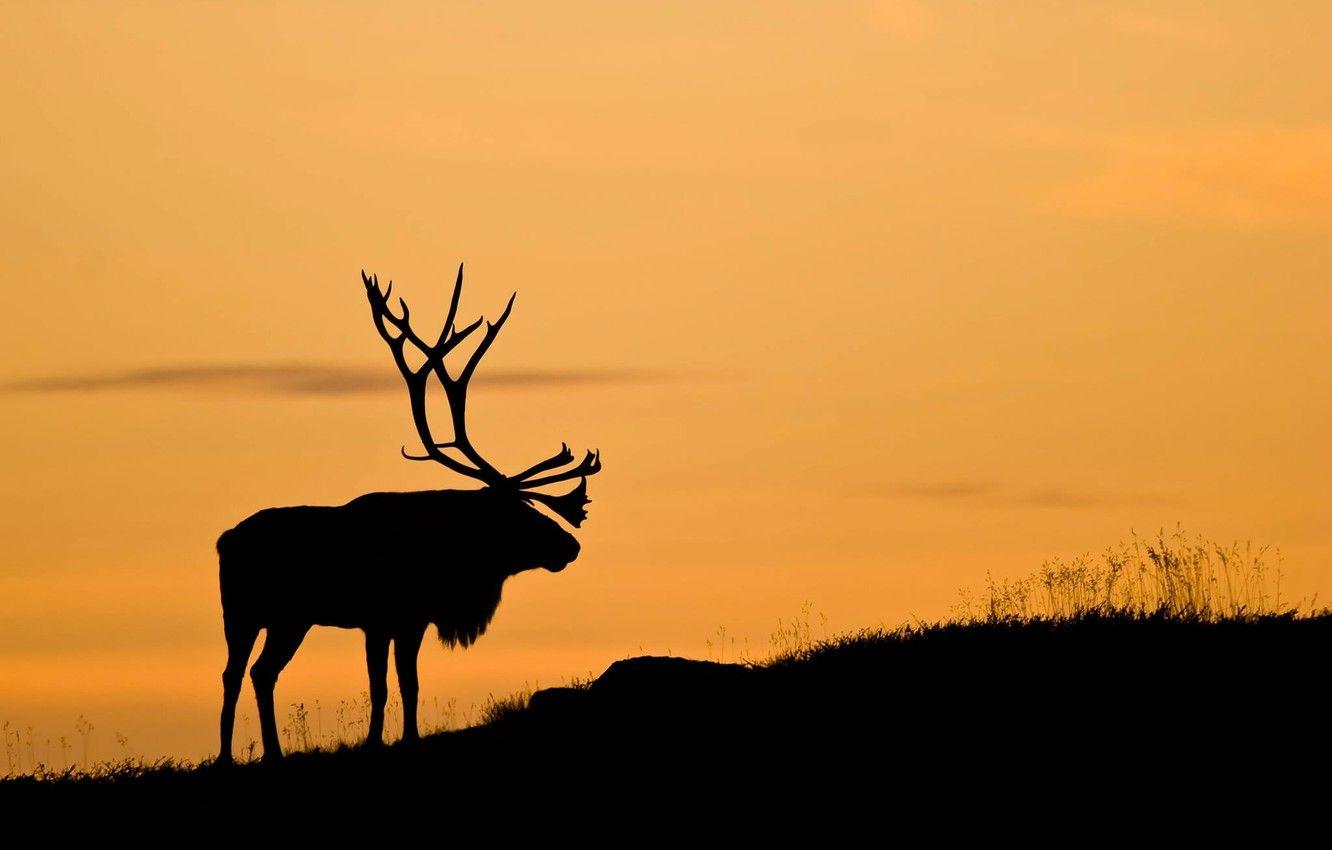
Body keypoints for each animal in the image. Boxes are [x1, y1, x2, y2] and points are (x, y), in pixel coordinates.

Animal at [215, 265, 602, 764]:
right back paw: (234, 756)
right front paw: (376, 741)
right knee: (241, 673)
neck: (446, 563)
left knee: (256, 673)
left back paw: (264, 753)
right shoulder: (382, 617)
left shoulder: (411, 619)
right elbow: (383, 687)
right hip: (251, 612)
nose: (570, 545)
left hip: (284, 618)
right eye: (518, 512)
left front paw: (408, 736)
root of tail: (224, 540)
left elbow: (410, 684)